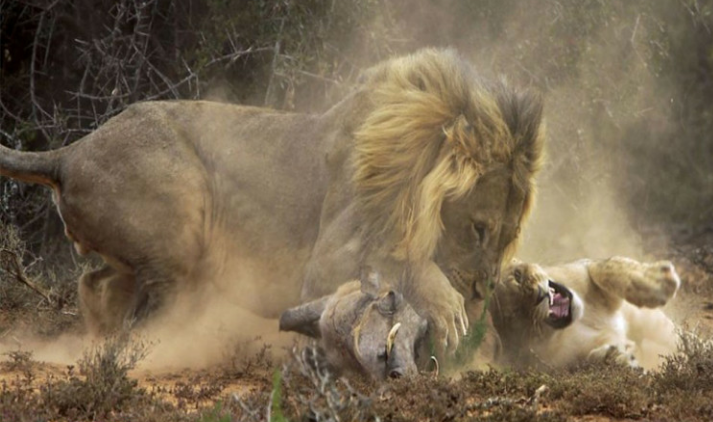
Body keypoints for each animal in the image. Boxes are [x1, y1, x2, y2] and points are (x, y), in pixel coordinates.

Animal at [1, 48, 544, 352]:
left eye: (510, 236)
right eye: (478, 228)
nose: (482, 291)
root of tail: (71, 152)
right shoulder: (329, 259)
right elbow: (404, 261)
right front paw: (449, 308)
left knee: (94, 283)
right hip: (181, 217)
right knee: (150, 316)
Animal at [490, 258, 680, 370]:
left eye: (518, 276)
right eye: (517, 313)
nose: (538, 295)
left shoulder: (584, 268)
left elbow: (605, 268)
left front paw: (660, 281)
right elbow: (591, 360)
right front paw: (619, 359)